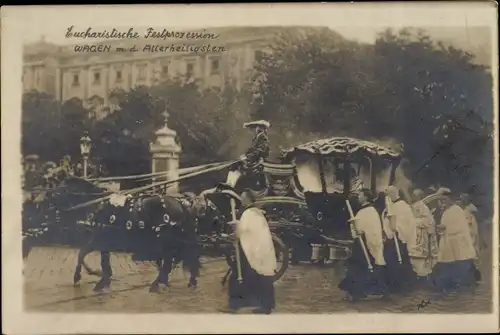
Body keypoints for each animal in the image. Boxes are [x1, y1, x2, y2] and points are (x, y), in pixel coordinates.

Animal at [73, 192, 223, 294]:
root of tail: (182, 204)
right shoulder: (103, 241)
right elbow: (94, 258)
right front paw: (101, 279)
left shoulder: (99, 238)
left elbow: (83, 254)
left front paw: (84, 277)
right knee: (186, 259)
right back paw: (187, 282)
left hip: (167, 241)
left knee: (172, 262)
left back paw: (157, 284)